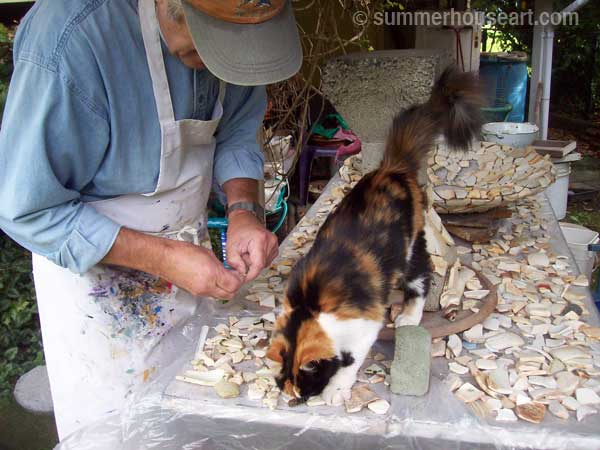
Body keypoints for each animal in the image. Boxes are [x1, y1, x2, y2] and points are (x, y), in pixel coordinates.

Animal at [268, 66, 482, 404]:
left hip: (410, 250)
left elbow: (350, 360)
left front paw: (337, 390)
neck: (310, 306)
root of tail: (391, 169)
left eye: (306, 386)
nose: (295, 400)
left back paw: (409, 315)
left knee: (422, 278)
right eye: (287, 386)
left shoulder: (364, 322)